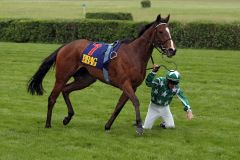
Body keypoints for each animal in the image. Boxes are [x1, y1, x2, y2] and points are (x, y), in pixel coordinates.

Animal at [27, 14, 176, 134]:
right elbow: (135, 101)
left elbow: (119, 106)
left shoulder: (132, 86)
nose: (172, 50)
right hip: (62, 76)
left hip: (86, 79)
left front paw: (107, 125)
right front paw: (139, 126)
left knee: (66, 90)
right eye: (161, 31)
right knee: (53, 97)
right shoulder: (125, 83)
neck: (134, 54)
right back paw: (48, 124)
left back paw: (68, 117)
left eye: (170, 31)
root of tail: (65, 46)